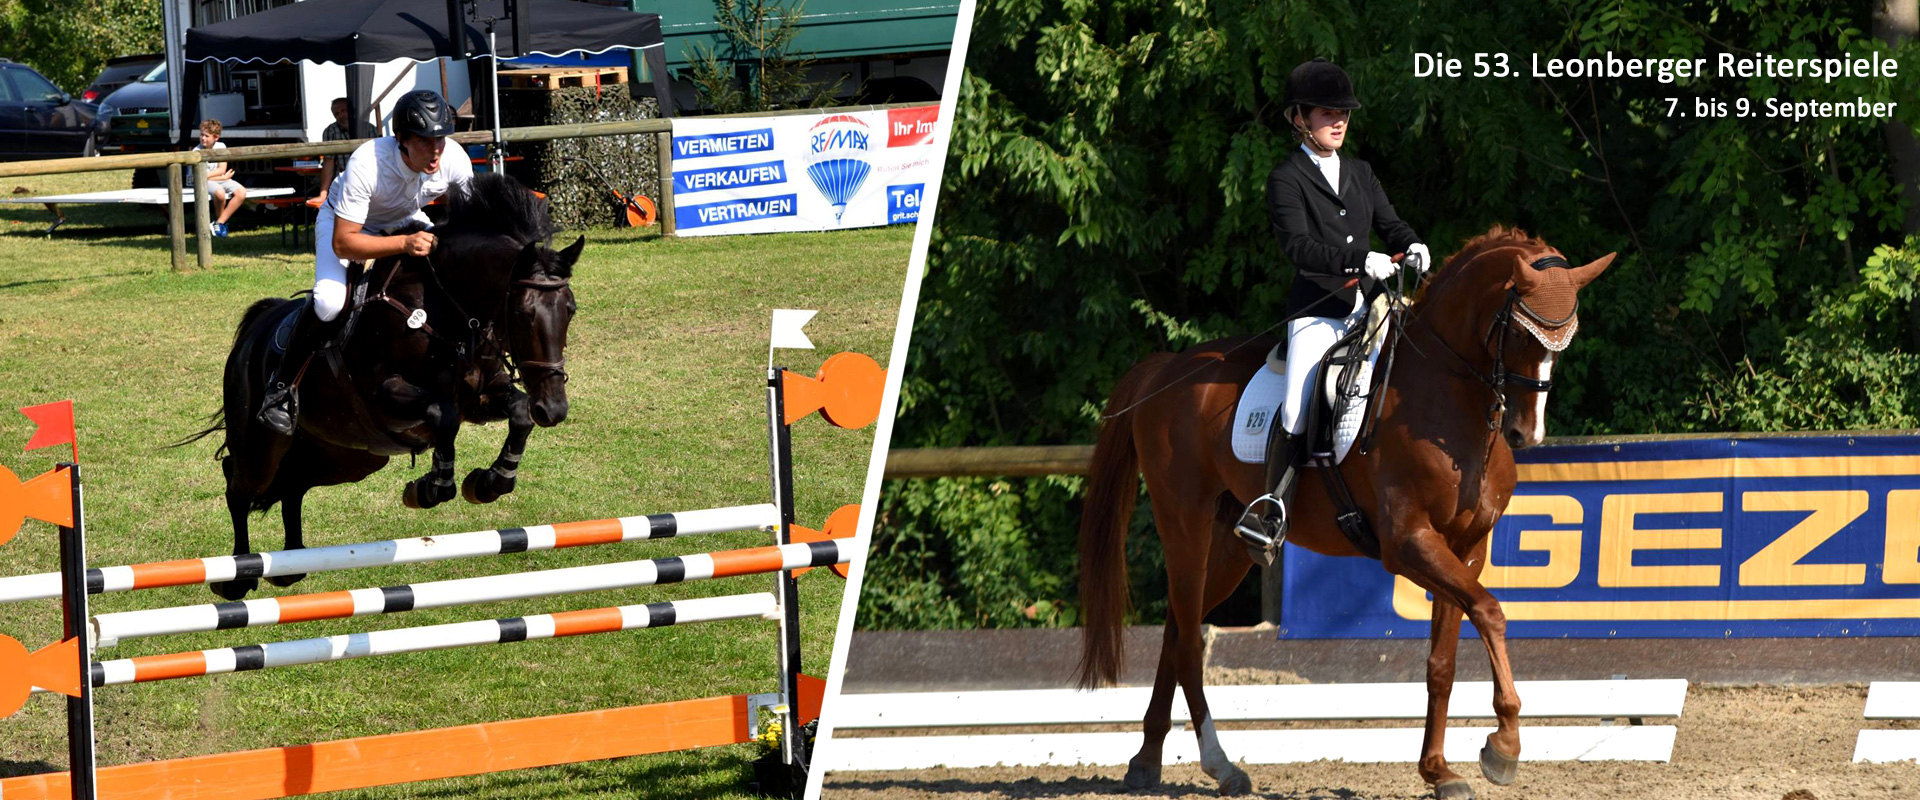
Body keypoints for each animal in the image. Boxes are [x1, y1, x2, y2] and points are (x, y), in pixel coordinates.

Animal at [183, 172, 579, 598]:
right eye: (523, 313)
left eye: (570, 309)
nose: (553, 409)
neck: (445, 309)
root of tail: (254, 330)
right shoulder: (384, 395)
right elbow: (443, 414)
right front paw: (432, 488)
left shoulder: (482, 395)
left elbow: (517, 412)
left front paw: (490, 482)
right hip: (262, 447)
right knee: (237, 484)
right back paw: (239, 575)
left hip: (348, 456)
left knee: (293, 483)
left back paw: (289, 566)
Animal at [1082, 226, 1605, 798]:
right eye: (1522, 334)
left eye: (1567, 337)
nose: (1525, 433)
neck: (1446, 401)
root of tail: (1168, 368)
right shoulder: (1408, 543)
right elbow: (1490, 611)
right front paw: (1503, 746)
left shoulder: (1466, 548)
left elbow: (1443, 661)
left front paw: (1439, 771)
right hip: (1185, 524)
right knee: (1188, 642)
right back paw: (1220, 764)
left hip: (1228, 545)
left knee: (1179, 627)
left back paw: (1147, 760)